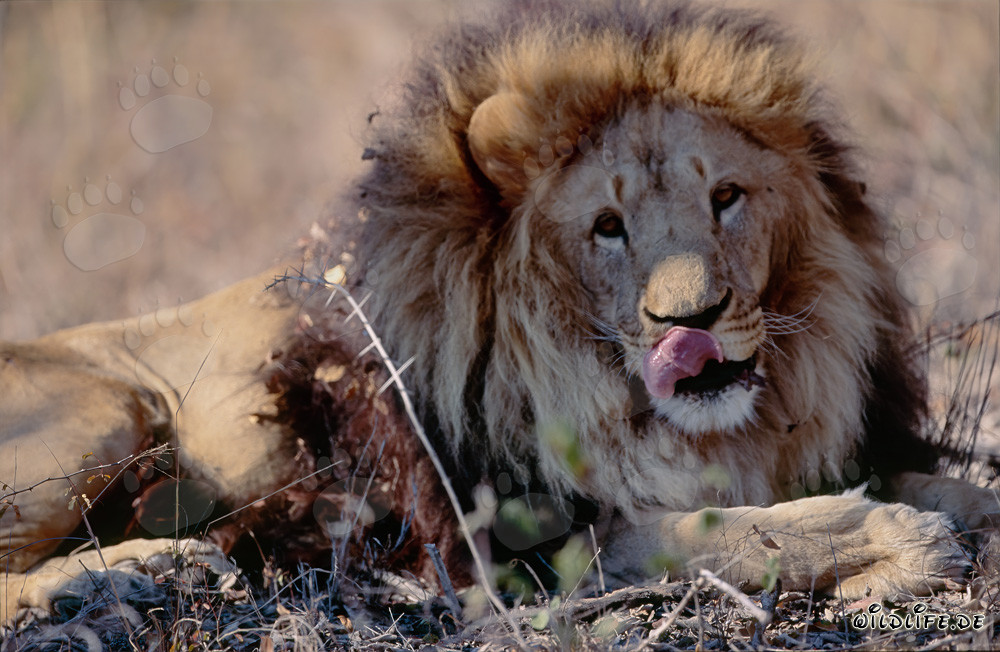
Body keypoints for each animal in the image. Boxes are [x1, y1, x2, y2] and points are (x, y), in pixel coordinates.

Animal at [2, 1, 998, 625]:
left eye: (726, 198)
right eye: (607, 227)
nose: (694, 321)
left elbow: (949, 487)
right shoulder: (526, 543)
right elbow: (732, 531)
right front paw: (902, 543)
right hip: (108, 407)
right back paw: (117, 580)